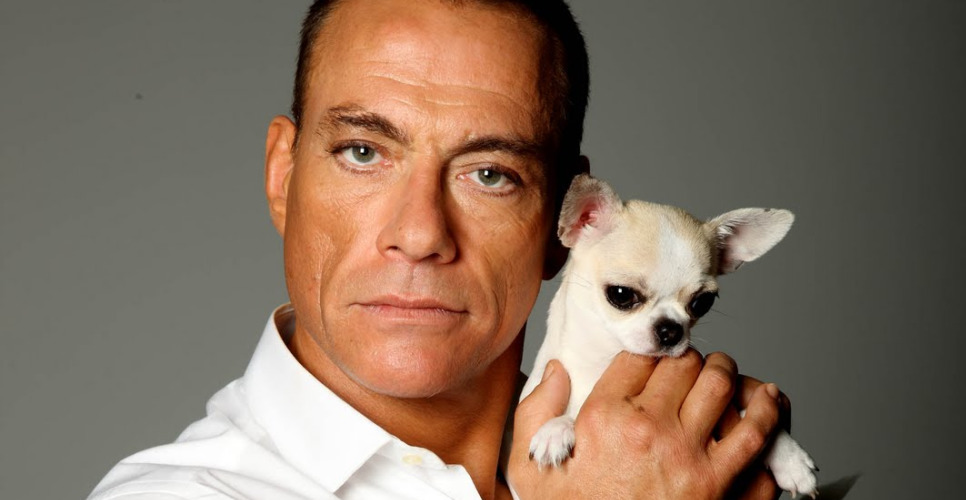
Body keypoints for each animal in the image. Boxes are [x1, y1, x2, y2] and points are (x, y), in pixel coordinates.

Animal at [520, 174, 818, 498]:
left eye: (703, 302)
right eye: (621, 295)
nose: (670, 329)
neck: (607, 358)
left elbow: (744, 412)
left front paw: (790, 458)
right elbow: (578, 409)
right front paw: (556, 428)